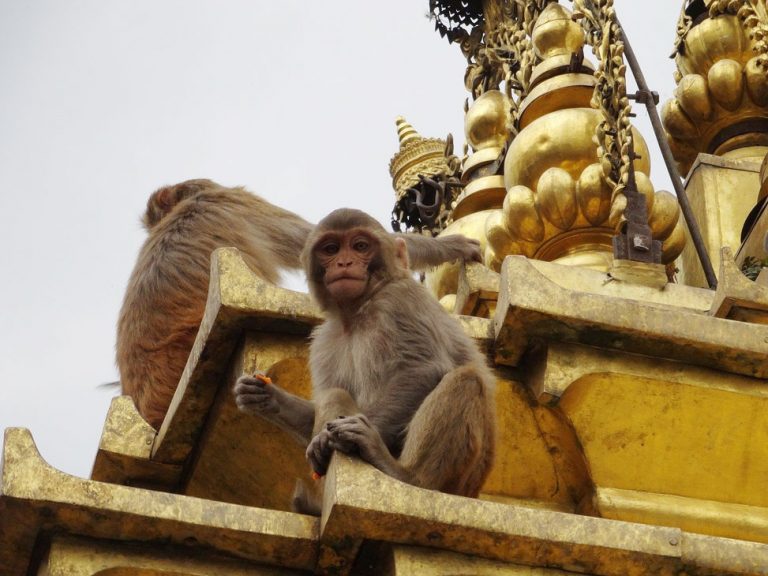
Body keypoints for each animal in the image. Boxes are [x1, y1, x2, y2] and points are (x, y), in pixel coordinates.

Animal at [234, 208, 495, 510]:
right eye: (331, 249)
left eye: (360, 246)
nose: (344, 262)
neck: (357, 313)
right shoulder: (324, 342)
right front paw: (265, 397)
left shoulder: (400, 300)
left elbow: (422, 369)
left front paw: (338, 438)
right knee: (335, 394)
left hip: (463, 483)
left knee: (467, 380)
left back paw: (404, 474)